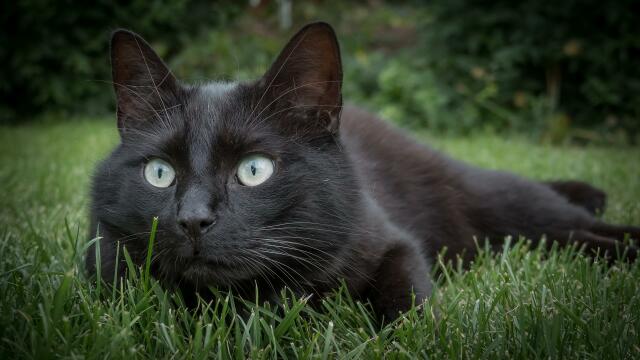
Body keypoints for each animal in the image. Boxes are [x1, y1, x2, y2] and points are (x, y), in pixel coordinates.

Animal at [86, 22, 640, 320]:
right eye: (160, 173)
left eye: (255, 170)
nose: (193, 220)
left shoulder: (391, 242)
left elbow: (408, 302)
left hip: (499, 204)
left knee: (568, 228)